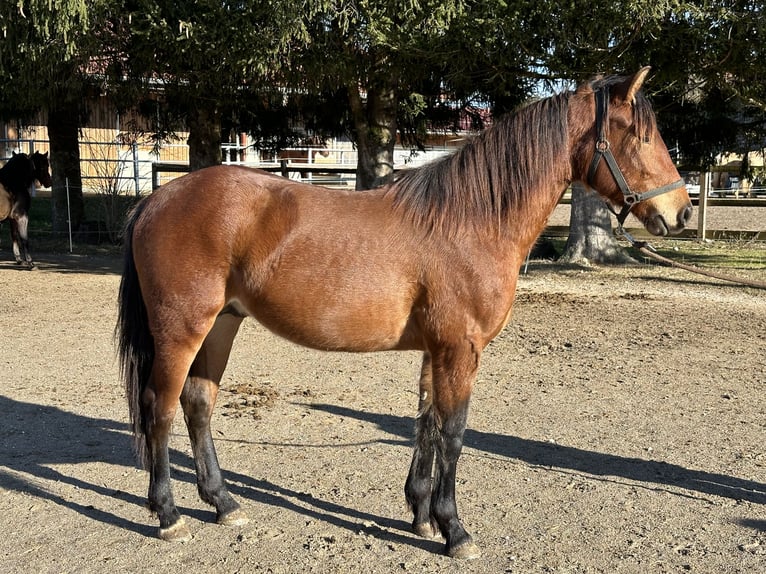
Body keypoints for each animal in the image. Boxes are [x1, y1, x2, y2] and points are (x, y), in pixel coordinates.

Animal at [115, 66, 696, 560]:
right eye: (641, 136)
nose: (682, 212)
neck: (471, 219)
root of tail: (156, 199)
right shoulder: (460, 349)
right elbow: (454, 432)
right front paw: (454, 529)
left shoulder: (437, 348)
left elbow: (427, 423)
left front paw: (420, 514)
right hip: (182, 330)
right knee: (159, 408)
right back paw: (168, 514)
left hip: (222, 324)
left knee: (198, 403)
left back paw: (224, 503)